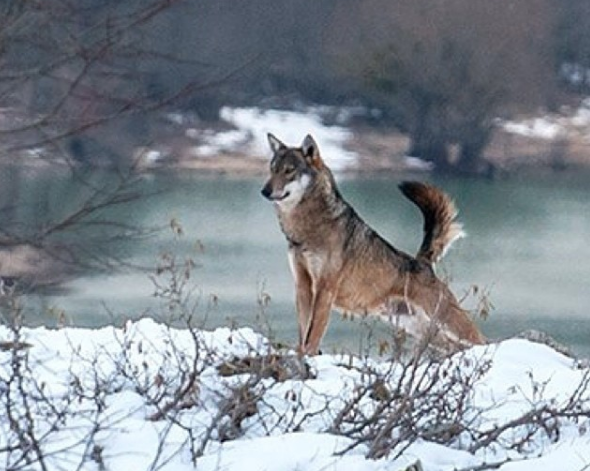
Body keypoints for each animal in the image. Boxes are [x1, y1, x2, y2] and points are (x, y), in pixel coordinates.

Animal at [262, 132, 484, 354]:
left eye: (289, 170)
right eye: (272, 169)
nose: (264, 191)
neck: (307, 229)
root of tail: (423, 261)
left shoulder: (325, 289)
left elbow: (313, 336)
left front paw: (308, 356)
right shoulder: (303, 287)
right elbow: (303, 333)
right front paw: (301, 354)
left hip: (450, 324)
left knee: (481, 341)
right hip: (423, 330)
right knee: (454, 347)